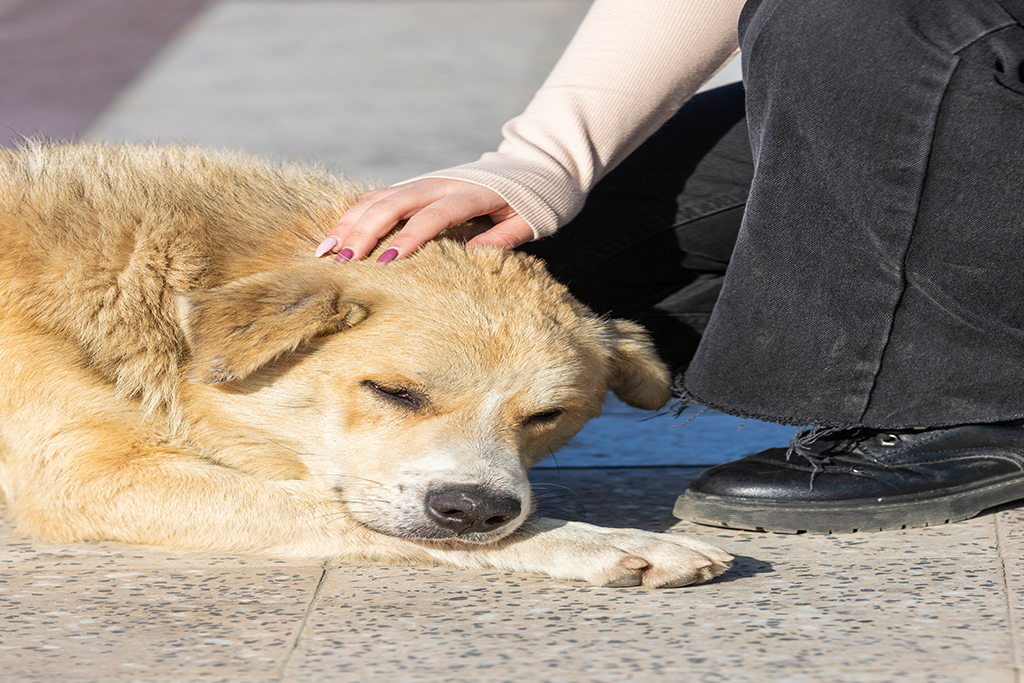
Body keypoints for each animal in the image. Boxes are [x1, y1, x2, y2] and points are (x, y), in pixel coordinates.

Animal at [0, 143, 729, 589]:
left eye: (548, 416)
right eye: (392, 391)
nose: (475, 509)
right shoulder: (86, 479)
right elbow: (334, 510)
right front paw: (599, 541)